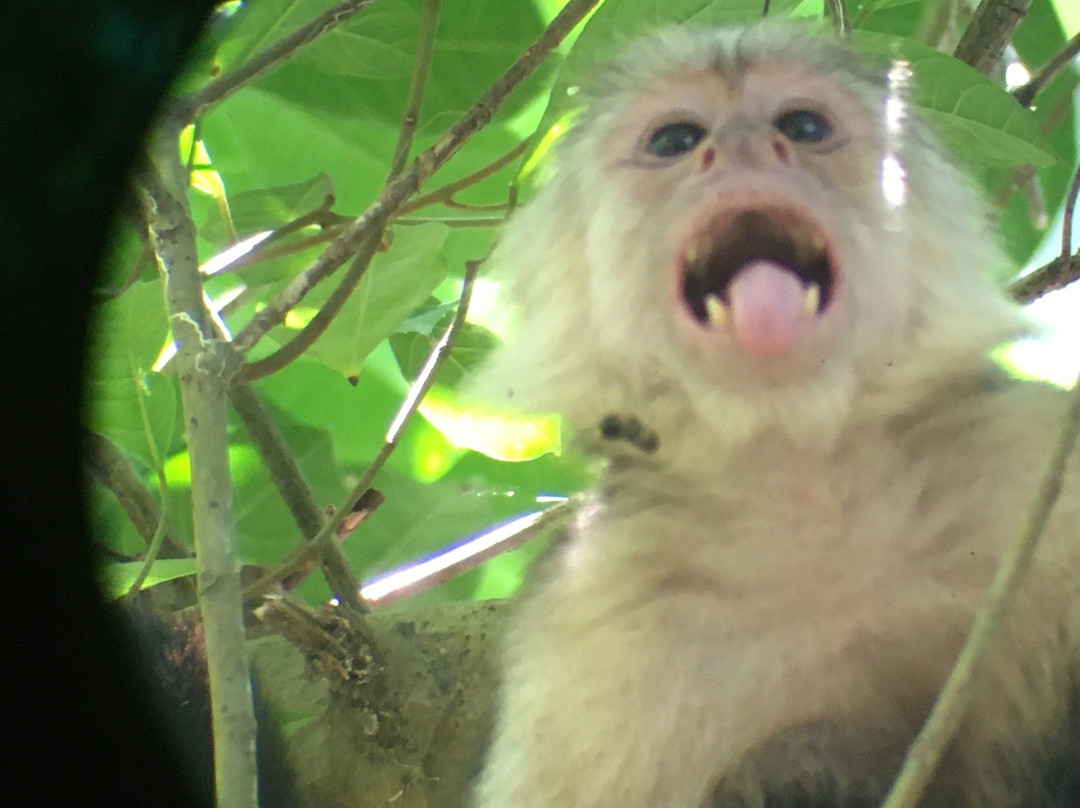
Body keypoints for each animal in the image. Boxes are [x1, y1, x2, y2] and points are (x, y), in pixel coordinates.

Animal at [473, 20, 1080, 808]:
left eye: (804, 126)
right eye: (675, 138)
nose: (740, 144)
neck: (807, 486)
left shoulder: (1034, 459)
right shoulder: (586, 623)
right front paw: (812, 768)